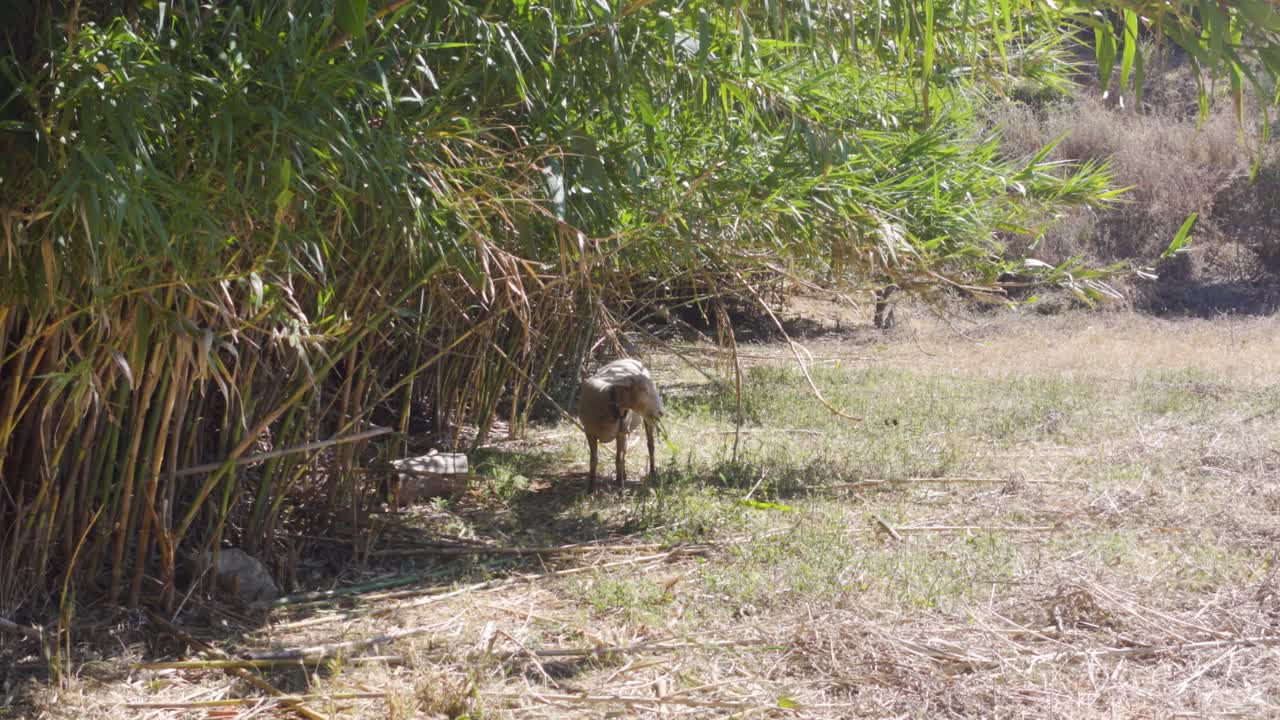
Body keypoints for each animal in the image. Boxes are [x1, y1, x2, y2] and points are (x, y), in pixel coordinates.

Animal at [577, 358, 664, 491]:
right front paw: (590, 488)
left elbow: (618, 460)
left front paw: (620, 489)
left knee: (650, 445)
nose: (661, 412)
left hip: (645, 420)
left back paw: (652, 473)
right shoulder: (589, 432)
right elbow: (593, 460)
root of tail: (630, 359)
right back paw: (624, 475)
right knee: (625, 451)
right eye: (644, 390)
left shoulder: (621, 433)